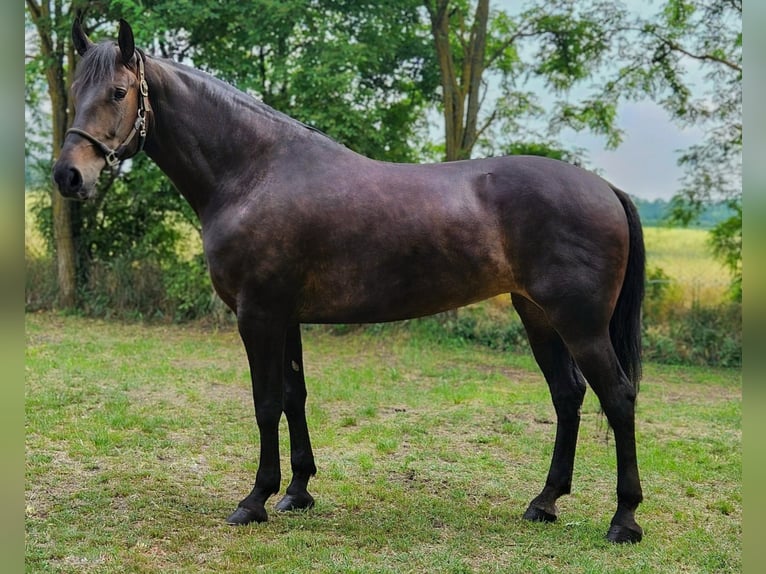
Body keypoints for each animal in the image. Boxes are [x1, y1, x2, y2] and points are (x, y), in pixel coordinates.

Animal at [52, 18, 646, 544]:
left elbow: (265, 402)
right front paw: (297, 492)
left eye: (118, 91)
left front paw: (255, 499)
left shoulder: (258, 315)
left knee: (617, 397)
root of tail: (606, 189)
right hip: (538, 315)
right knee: (567, 395)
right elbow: (294, 396)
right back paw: (544, 502)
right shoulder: (285, 317)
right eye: (75, 90)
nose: (68, 176)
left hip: (580, 325)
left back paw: (624, 520)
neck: (252, 173)